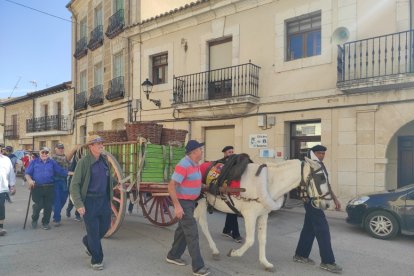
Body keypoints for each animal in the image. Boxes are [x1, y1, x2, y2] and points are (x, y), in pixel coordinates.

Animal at [194, 157, 324, 272]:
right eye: (321, 177)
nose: (325, 204)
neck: (268, 181)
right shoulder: (249, 216)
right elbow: (250, 240)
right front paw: (235, 253)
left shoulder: (263, 215)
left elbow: (262, 239)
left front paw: (265, 262)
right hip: (201, 201)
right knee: (203, 224)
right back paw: (214, 249)